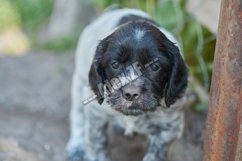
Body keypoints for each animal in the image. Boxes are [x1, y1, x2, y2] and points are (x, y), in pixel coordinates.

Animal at [66, 7, 189, 161]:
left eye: (155, 67)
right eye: (115, 64)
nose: (130, 94)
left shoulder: (171, 125)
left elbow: (156, 151)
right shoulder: (96, 113)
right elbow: (96, 142)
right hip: (79, 82)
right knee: (77, 115)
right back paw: (76, 147)